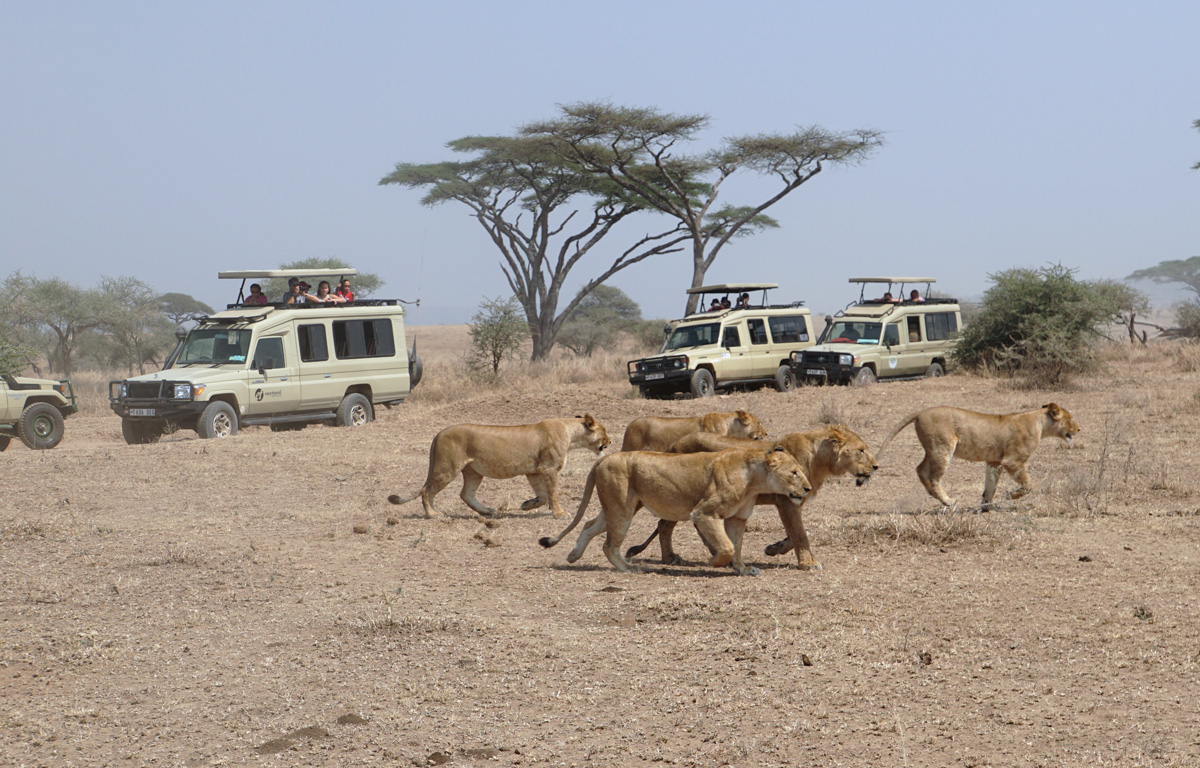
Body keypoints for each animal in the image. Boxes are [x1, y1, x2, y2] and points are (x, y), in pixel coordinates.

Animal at [387, 415, 610, 518]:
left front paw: (527, 504)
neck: (572, 434)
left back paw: (488, 511)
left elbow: (543, 495)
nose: (611, 440)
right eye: (605, 430)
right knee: (427, 490)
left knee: (466, 494)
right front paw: (560, 514)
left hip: (473, 471)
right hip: (447, 468)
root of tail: (438, 433)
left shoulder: (534, 471)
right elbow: (553, 493)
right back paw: (432, 514)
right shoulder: (549, 468)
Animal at [539, 447, 811, 575]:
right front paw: (714, 561)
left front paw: (743, 569)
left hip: (616, 508)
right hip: (621, 509)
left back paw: (573, 556)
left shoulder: (737, 517)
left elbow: (737, 546)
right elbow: (726, 546)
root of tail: (603, 459)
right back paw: (628, 568)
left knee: (588, 526)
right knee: (608, 545)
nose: (808, 488)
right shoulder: (704, 512)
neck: (755, 478)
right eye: (794, 473)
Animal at [624, 425, 878, 570]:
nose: (876, 466)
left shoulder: (794, 500)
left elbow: (792, 535)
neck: (820, 459)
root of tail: (673, 444)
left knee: (667, 524)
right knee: (667, 524)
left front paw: (774, 548)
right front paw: (808, 563)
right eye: (861, 450)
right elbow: (800, 533)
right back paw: (675, 557)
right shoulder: (787, 501)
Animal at [877, 402, 1079, 508]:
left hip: (933, 449)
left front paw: (986, 506)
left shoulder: (994, 461)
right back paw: (948, 501)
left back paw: (937, 497)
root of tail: (921, 412)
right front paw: (1010, 496)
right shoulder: (1012, 461)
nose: (1079, 429)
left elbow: (990, 486)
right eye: (1070, 419)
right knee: (932, 476)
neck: (1040, 423)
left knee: (920, 469)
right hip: (943, 448)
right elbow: (1028, 485)